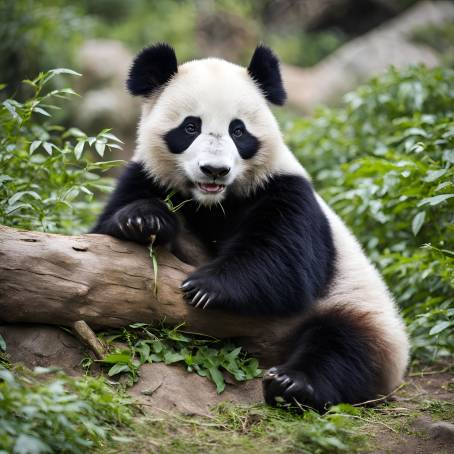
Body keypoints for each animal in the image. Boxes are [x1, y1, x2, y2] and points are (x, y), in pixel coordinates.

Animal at [92, 43, 408, 412]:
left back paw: (293, 385)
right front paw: (143, 221)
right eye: (190, 127)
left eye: (238, 130)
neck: (212, 202)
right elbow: (106, 228)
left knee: (343, 346)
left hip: (361, 309)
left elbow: (286, 261)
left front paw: (207, 287)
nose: (214, 170)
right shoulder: (147, 175)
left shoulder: (285, 189)